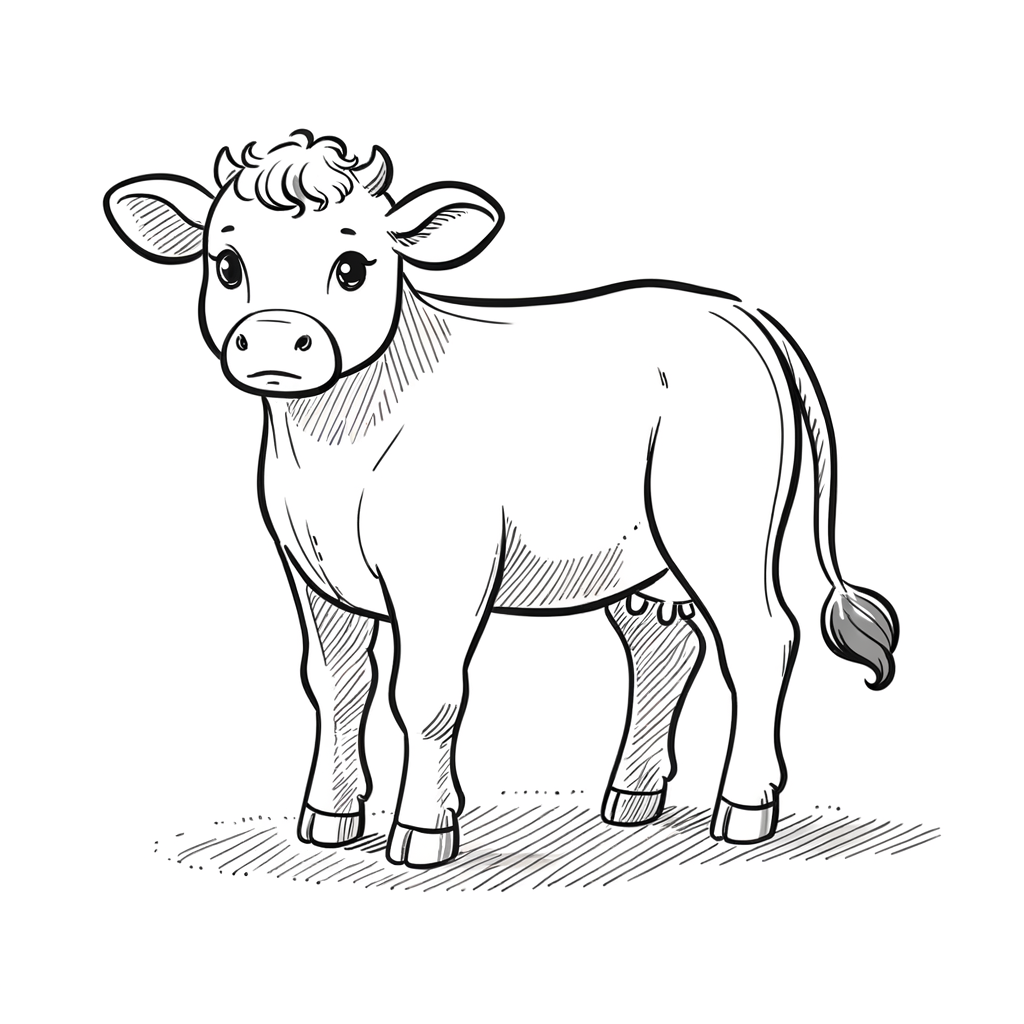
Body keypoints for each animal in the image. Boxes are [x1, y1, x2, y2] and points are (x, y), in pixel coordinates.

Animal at [104, 130, 898, 869]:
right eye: (226, 263)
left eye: (352, 266)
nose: (272, 341)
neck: (333, 447)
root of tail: (737, 312)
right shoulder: (313, 572)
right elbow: (335, 685)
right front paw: (328, 818)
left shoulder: (442, 571)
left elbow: (423, 695)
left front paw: (423, 830)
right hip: (640, 559)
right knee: (663, 647)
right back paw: (631, 797)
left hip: (720, 532)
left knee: (761, 639)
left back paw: (743, 808)